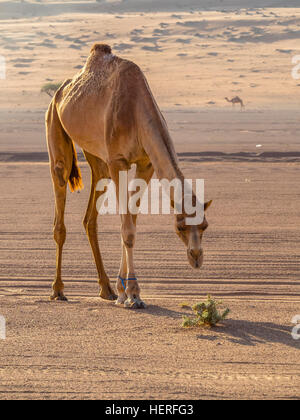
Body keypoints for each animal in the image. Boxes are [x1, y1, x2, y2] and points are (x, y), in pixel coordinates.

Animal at [45, 44, 212, 308]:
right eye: (180, 227)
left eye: (204, 225)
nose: (196, 257)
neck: (136, 109)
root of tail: (60, 92)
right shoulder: (118, 161)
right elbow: (127, 227)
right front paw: (133, 295)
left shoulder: (146, 163)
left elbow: (131, 219)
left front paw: (123, 290)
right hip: (55, 125)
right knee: (59, 195)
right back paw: (58, 290)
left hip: (97, 157)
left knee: (90, 216)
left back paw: (105, 289)